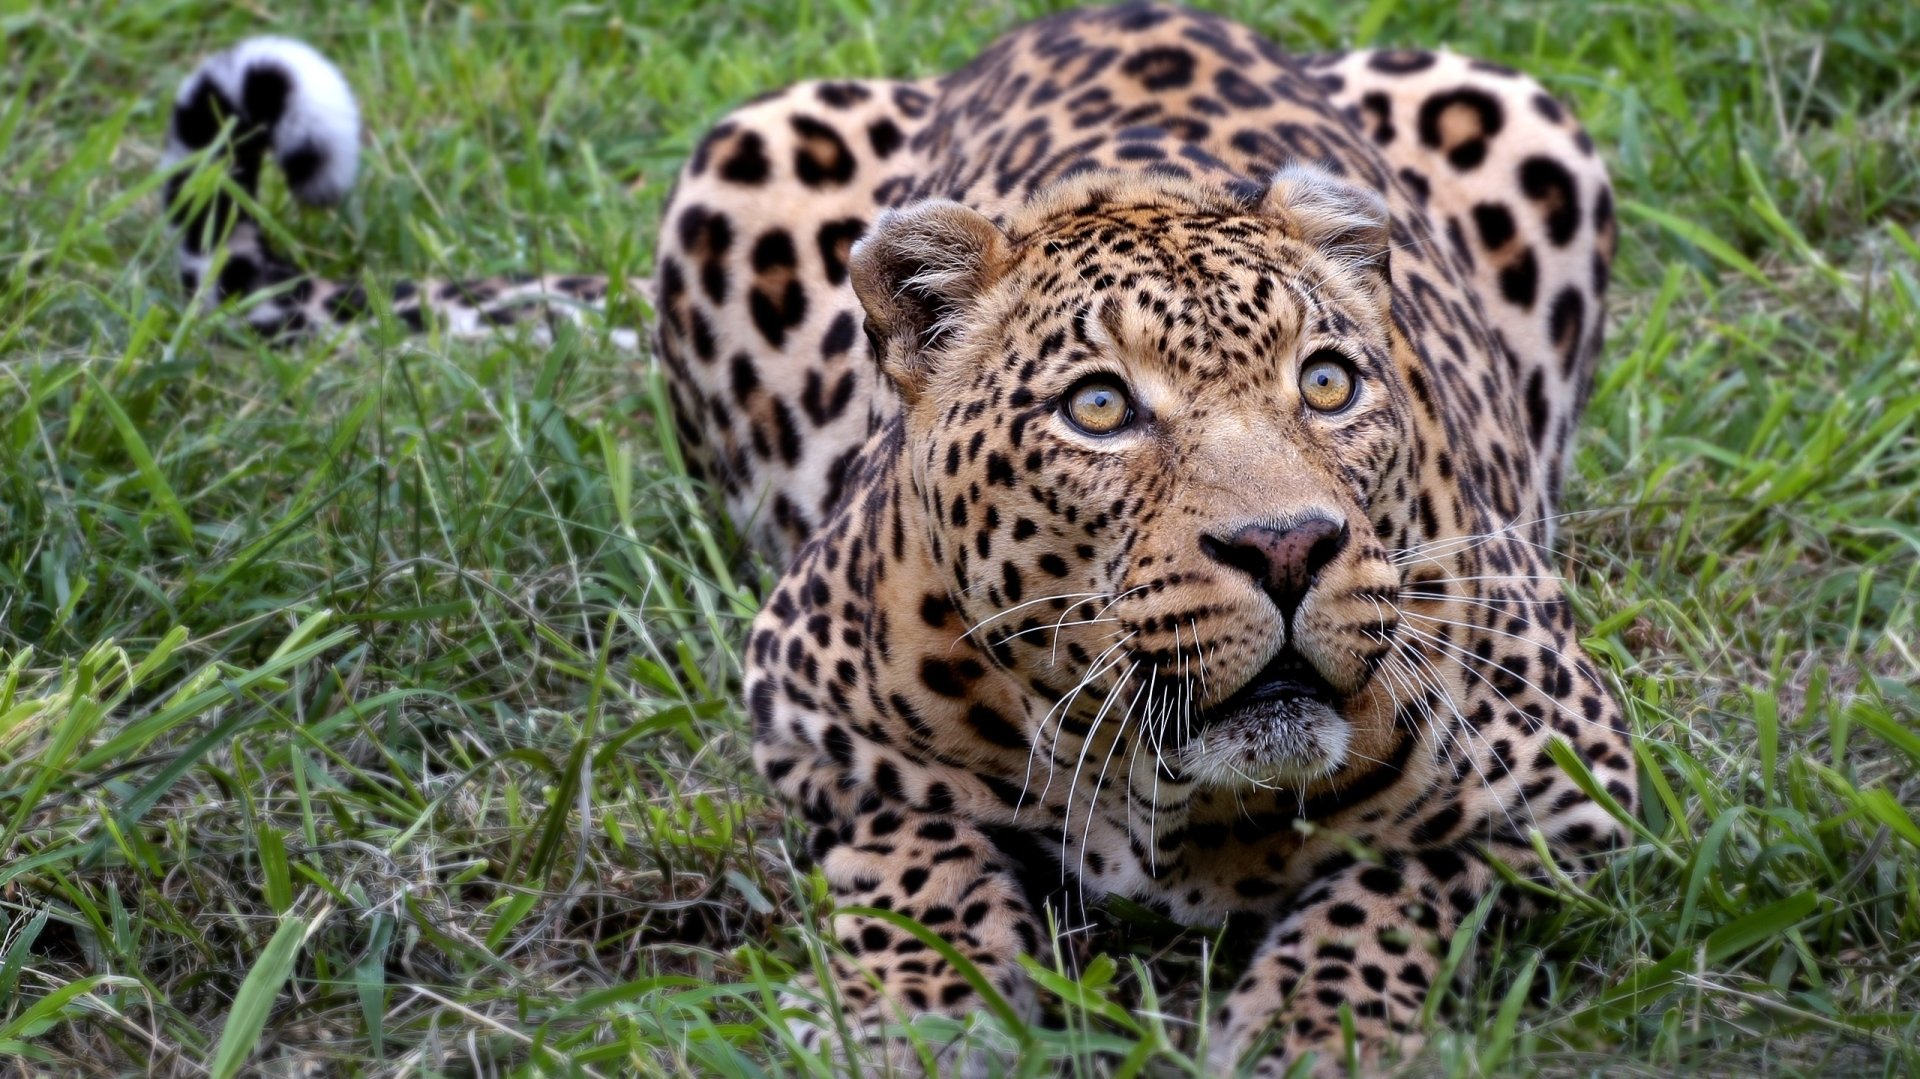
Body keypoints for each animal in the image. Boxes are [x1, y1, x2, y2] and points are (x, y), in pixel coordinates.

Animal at [160, 5, 1635, 1074]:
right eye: (1101, 408)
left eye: (1327, 384)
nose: (1286, 547)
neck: (1170, 796)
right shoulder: (807, 715)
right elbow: (915, 845)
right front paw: (914, 1013)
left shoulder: (1579, 787)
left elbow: (1400, 878)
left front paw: (1315, 1026)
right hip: (748, 149)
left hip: (1523, 113)